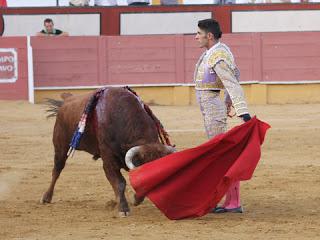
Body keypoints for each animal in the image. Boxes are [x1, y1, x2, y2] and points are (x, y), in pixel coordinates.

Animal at [41, 87, 175, 217]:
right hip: (60, 146)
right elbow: (120, 182)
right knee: (57, 170)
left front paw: (134, 200)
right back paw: (46, 197)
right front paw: (123, 208)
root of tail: (66, 101)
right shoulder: (108, 159)